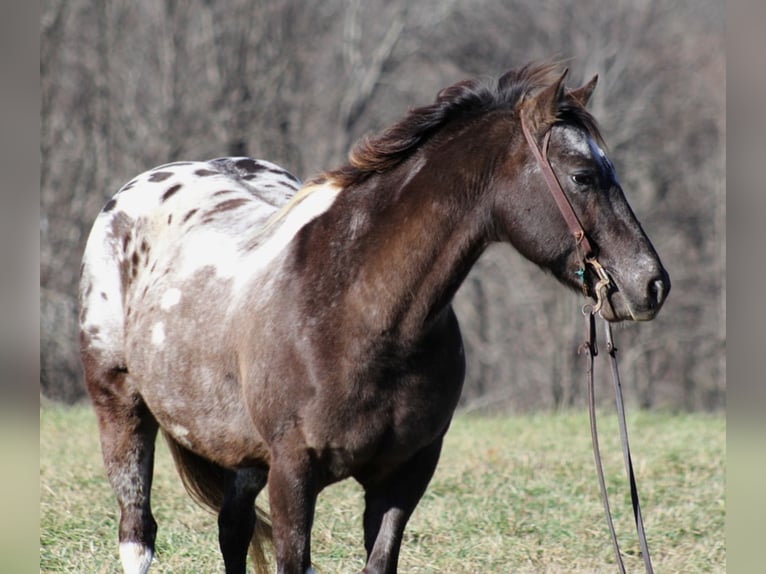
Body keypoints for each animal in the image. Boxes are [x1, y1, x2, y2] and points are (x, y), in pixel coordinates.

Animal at [76, 63, 664, 574]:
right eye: (583, 176)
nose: (652, 284)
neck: (359, 312)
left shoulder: (404, 476)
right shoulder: (292, 473)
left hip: (243, 454)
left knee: (233, 530)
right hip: (121, 410)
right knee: (138, 534)